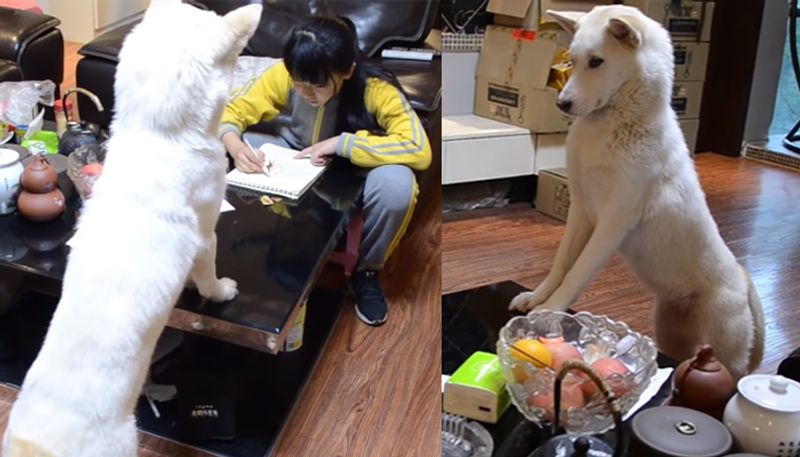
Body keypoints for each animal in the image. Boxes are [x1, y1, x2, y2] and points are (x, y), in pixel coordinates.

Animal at [510, 5, 764, 380]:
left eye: (597, 62)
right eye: (572, 60)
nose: (562, 104)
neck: (613, 126)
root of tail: (743, 278)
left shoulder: (613, 223)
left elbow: (577, 273)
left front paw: (549, 310)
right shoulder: (581, 210)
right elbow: (562, 263)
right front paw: (536, 298)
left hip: (726, 343)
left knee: (735, 372)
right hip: (670, 332)